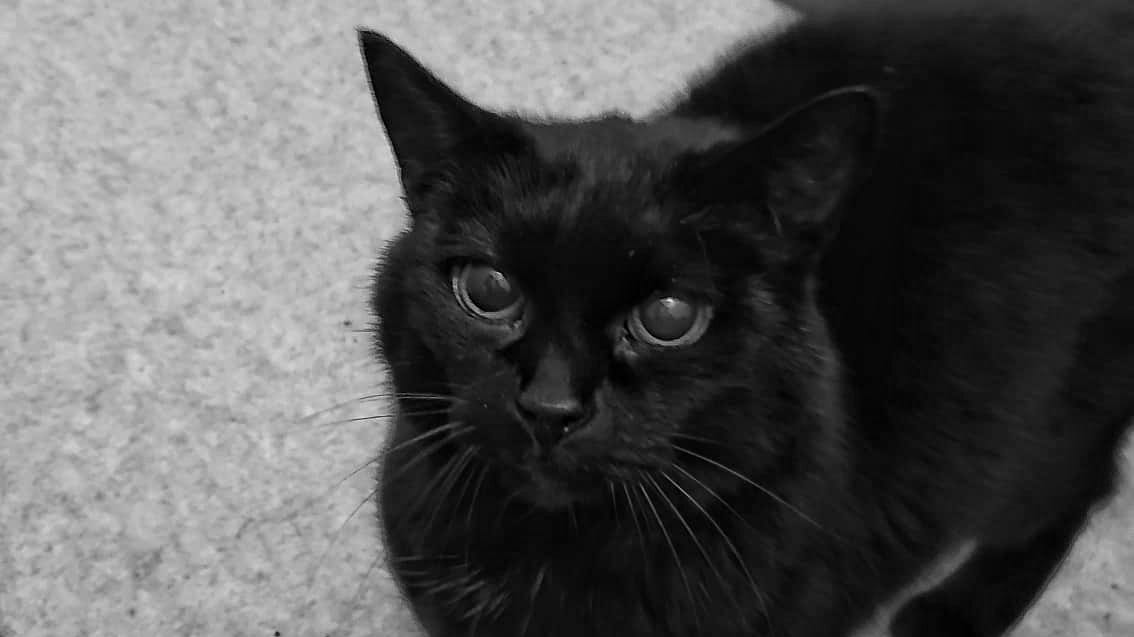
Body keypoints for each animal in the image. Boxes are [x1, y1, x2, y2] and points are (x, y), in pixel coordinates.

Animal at [358, 2, 1134, 630]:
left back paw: (958, 611)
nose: (551, 405)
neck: (553, 553)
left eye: (670, 315)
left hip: (1042, 423)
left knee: (1078, 484)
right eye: (488, 289)